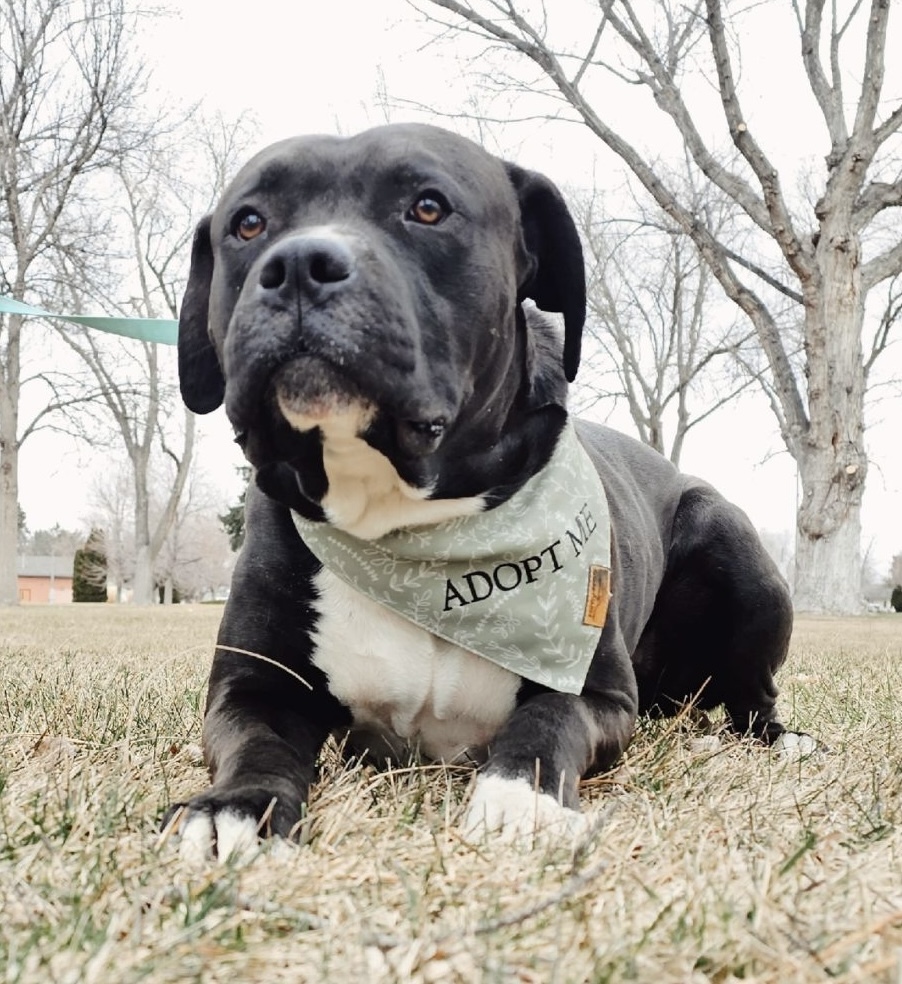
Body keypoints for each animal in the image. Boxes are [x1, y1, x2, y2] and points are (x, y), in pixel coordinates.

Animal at [173, 121, 808, 860]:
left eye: (427, 207)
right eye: (248, 223)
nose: (299, 263)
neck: (410, 522)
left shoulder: (596, 693)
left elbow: (545, 722)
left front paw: (518, 800)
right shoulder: (252, 687)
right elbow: (257, 744)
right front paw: (238, 808)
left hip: (732, 545)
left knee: (753, 699)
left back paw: (782, 740)